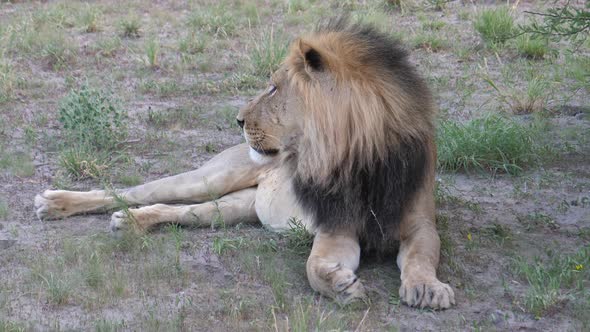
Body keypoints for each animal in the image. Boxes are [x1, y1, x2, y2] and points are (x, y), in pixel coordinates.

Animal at [33, 18, 458, 308]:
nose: (238, 120)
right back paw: (55, 202)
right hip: (209, 178)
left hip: (236, 208)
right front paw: (340, 284)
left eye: (273, 88)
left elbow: (422, 255)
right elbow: (313, 268)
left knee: (178, 211)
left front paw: (426, 288)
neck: (357, 157)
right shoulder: (335, 228)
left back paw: (132, 222)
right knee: (132, 191)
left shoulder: (419, 223)